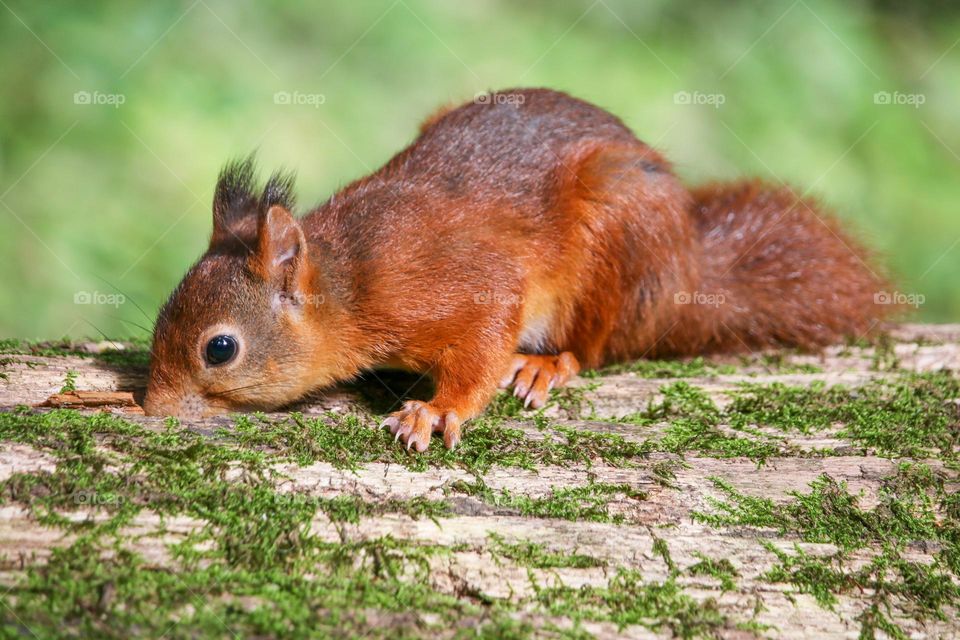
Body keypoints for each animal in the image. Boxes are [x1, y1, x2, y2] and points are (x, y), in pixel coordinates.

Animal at [142, 89, 892, 450]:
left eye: (219, 349)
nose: (151, 408)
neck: (349, 280)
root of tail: (686, 273)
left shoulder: (462, 286)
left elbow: (483, 342)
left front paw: (438, 410)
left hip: (618, 243)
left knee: (596, 346)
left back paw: (547, 364)